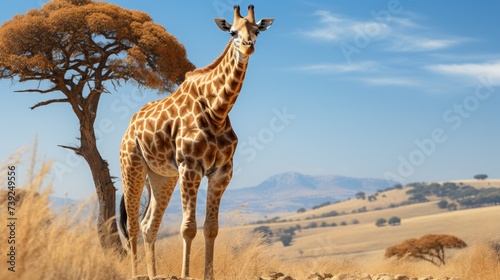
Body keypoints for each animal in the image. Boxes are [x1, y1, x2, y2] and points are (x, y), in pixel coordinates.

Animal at [118, 4, 274, 280]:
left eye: (257, 30)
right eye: (232, 32)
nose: (247, 46)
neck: (217, 111)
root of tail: (130, 127)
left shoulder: (222, 171)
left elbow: (211, 227)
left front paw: (208, 274)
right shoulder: (190, 166)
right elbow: (188, 227)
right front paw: (185, 273)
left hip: (162, 176)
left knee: (149, 225)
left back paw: (152, 274)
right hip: (132, 165)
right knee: (134, 225)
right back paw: (136, 274)